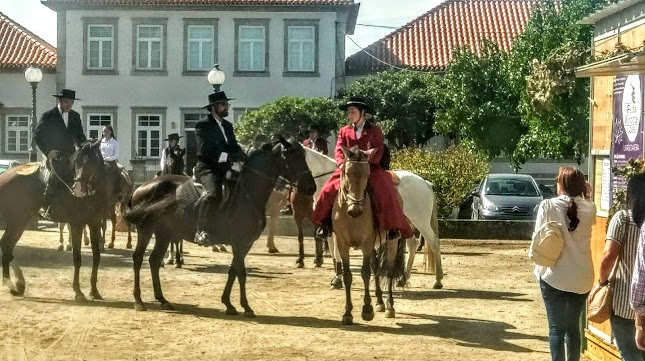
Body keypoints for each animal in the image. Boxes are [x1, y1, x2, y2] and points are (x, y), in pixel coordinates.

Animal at [0, 141, 109, 300]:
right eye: (76, 163)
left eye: (90, 162)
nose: (77, 189)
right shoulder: (77, 224)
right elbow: (77, 258)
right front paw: (78, 291)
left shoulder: (94, 223)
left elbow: (97, 257)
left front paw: (94, 291)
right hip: (17, 220)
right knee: (6, 245)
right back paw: (11, 283)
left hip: (20, 220)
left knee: (6, 245)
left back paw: (17, 283)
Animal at [124, 138, 314, 312]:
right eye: (291, 156)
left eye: (304, 156)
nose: (311, 187)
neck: (247, 193)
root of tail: (140, 187)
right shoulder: (239, 242)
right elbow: (241, 273)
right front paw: (246, 307)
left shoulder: (245, 244)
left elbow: (234, 270)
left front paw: (229, 303)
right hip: (145, 229)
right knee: (138, 259)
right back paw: (139, 301)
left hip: (164, 233)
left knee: (154, 261)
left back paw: (162, 299)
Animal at [304, 148, 442, 288]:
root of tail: (425, 182)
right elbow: (334, 252)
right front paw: (337, 277)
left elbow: (337, 251)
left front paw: (338, 279)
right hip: (408, 223)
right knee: (413, 244)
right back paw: (403, 279)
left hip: (421, 222)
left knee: (434, 242)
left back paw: (437, 280)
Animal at [332, 145, 402, 324]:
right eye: (346, 172)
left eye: (367, 174)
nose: (356, 211)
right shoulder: (342, 243)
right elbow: (348, 275)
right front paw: (347, 313)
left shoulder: (367, 242)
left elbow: (364, 273)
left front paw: (367, 309)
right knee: (376, 267)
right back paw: (379, 301)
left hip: (390, 243)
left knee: (388, 270)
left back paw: (389, 306)